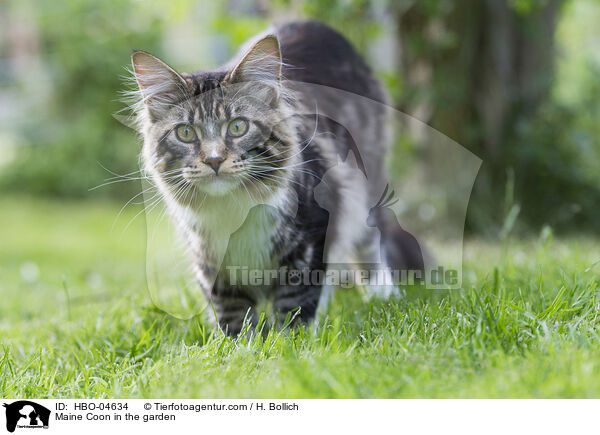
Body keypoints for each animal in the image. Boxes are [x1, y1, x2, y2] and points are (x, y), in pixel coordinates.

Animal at [131, 21, 408, 334]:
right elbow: (233, 318)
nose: (214, 160)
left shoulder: (311, 239)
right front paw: (241, 344)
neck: (233, 211)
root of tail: (306, 23)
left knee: (371, 238)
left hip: (364, 186)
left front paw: (293, 340)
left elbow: (296, 303)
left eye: (238, 127)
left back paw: (382, 294)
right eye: (186, 133)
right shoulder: (212, 264)